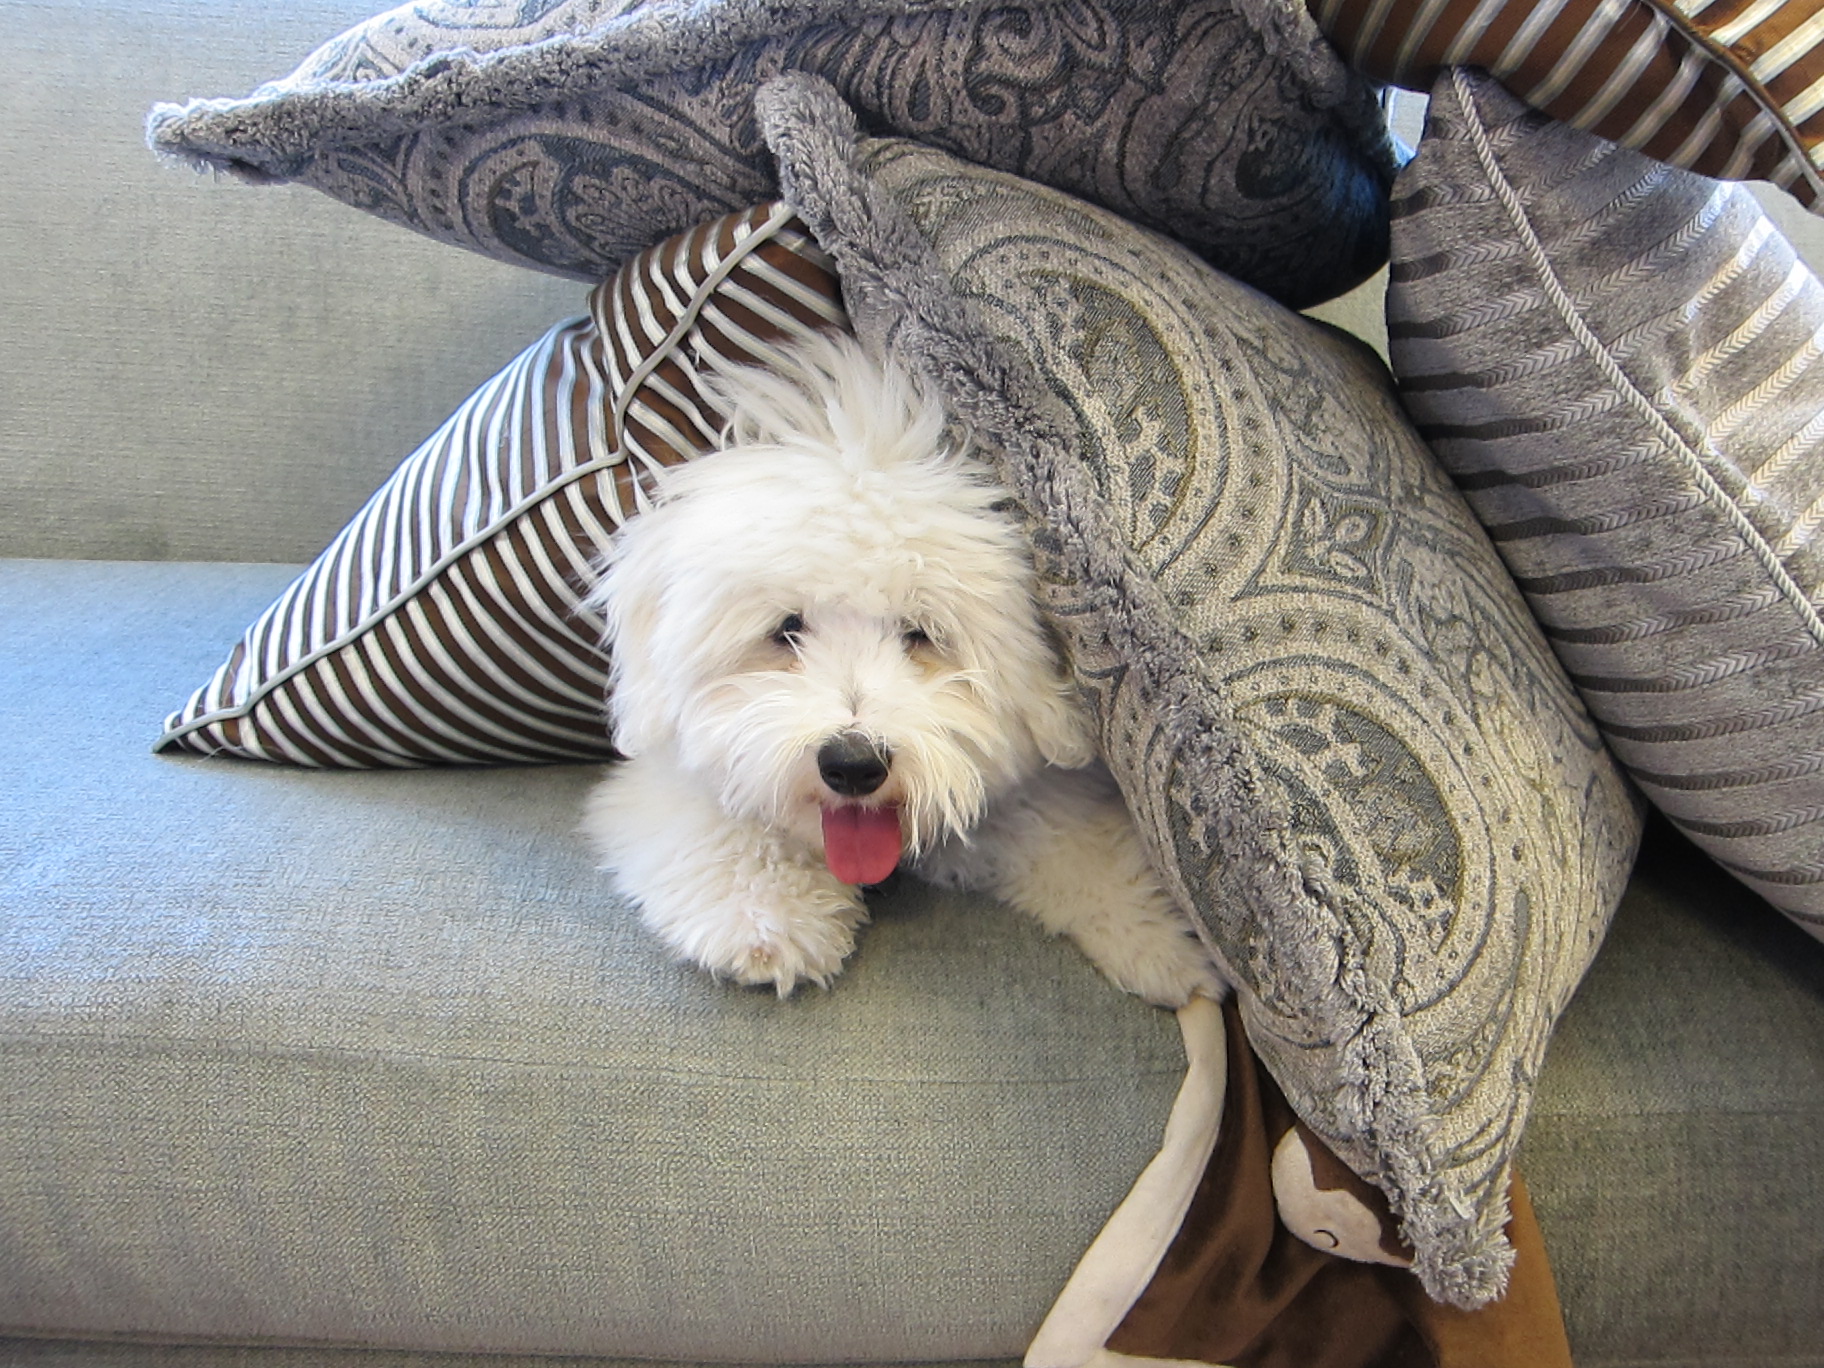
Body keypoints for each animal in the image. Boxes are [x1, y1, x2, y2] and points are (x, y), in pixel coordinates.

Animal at [583, 337, 1225, 1014]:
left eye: (920, 633)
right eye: (787, 629)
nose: (852, 765)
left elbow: (1072, 840)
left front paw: (1161, 943)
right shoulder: (665, 777)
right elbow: (722, 829)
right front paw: (771, 921)